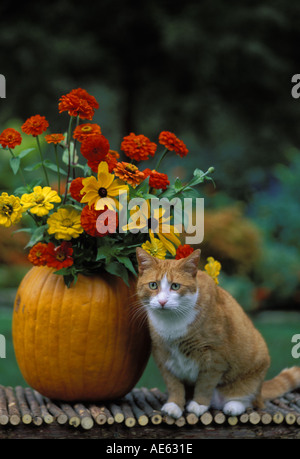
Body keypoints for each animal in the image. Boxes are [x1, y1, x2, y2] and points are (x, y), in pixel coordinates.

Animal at [135, 248, 300, 420]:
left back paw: (233, 406)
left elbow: (205, 384)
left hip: (253, 372)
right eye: (153, 285)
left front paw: (199, 404)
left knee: (249, 400)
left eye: (175, 286)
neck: (171, 323)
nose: (162, 302)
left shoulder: (214, 357)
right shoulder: (163, 356)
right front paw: (175, 405)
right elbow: (173, 384)